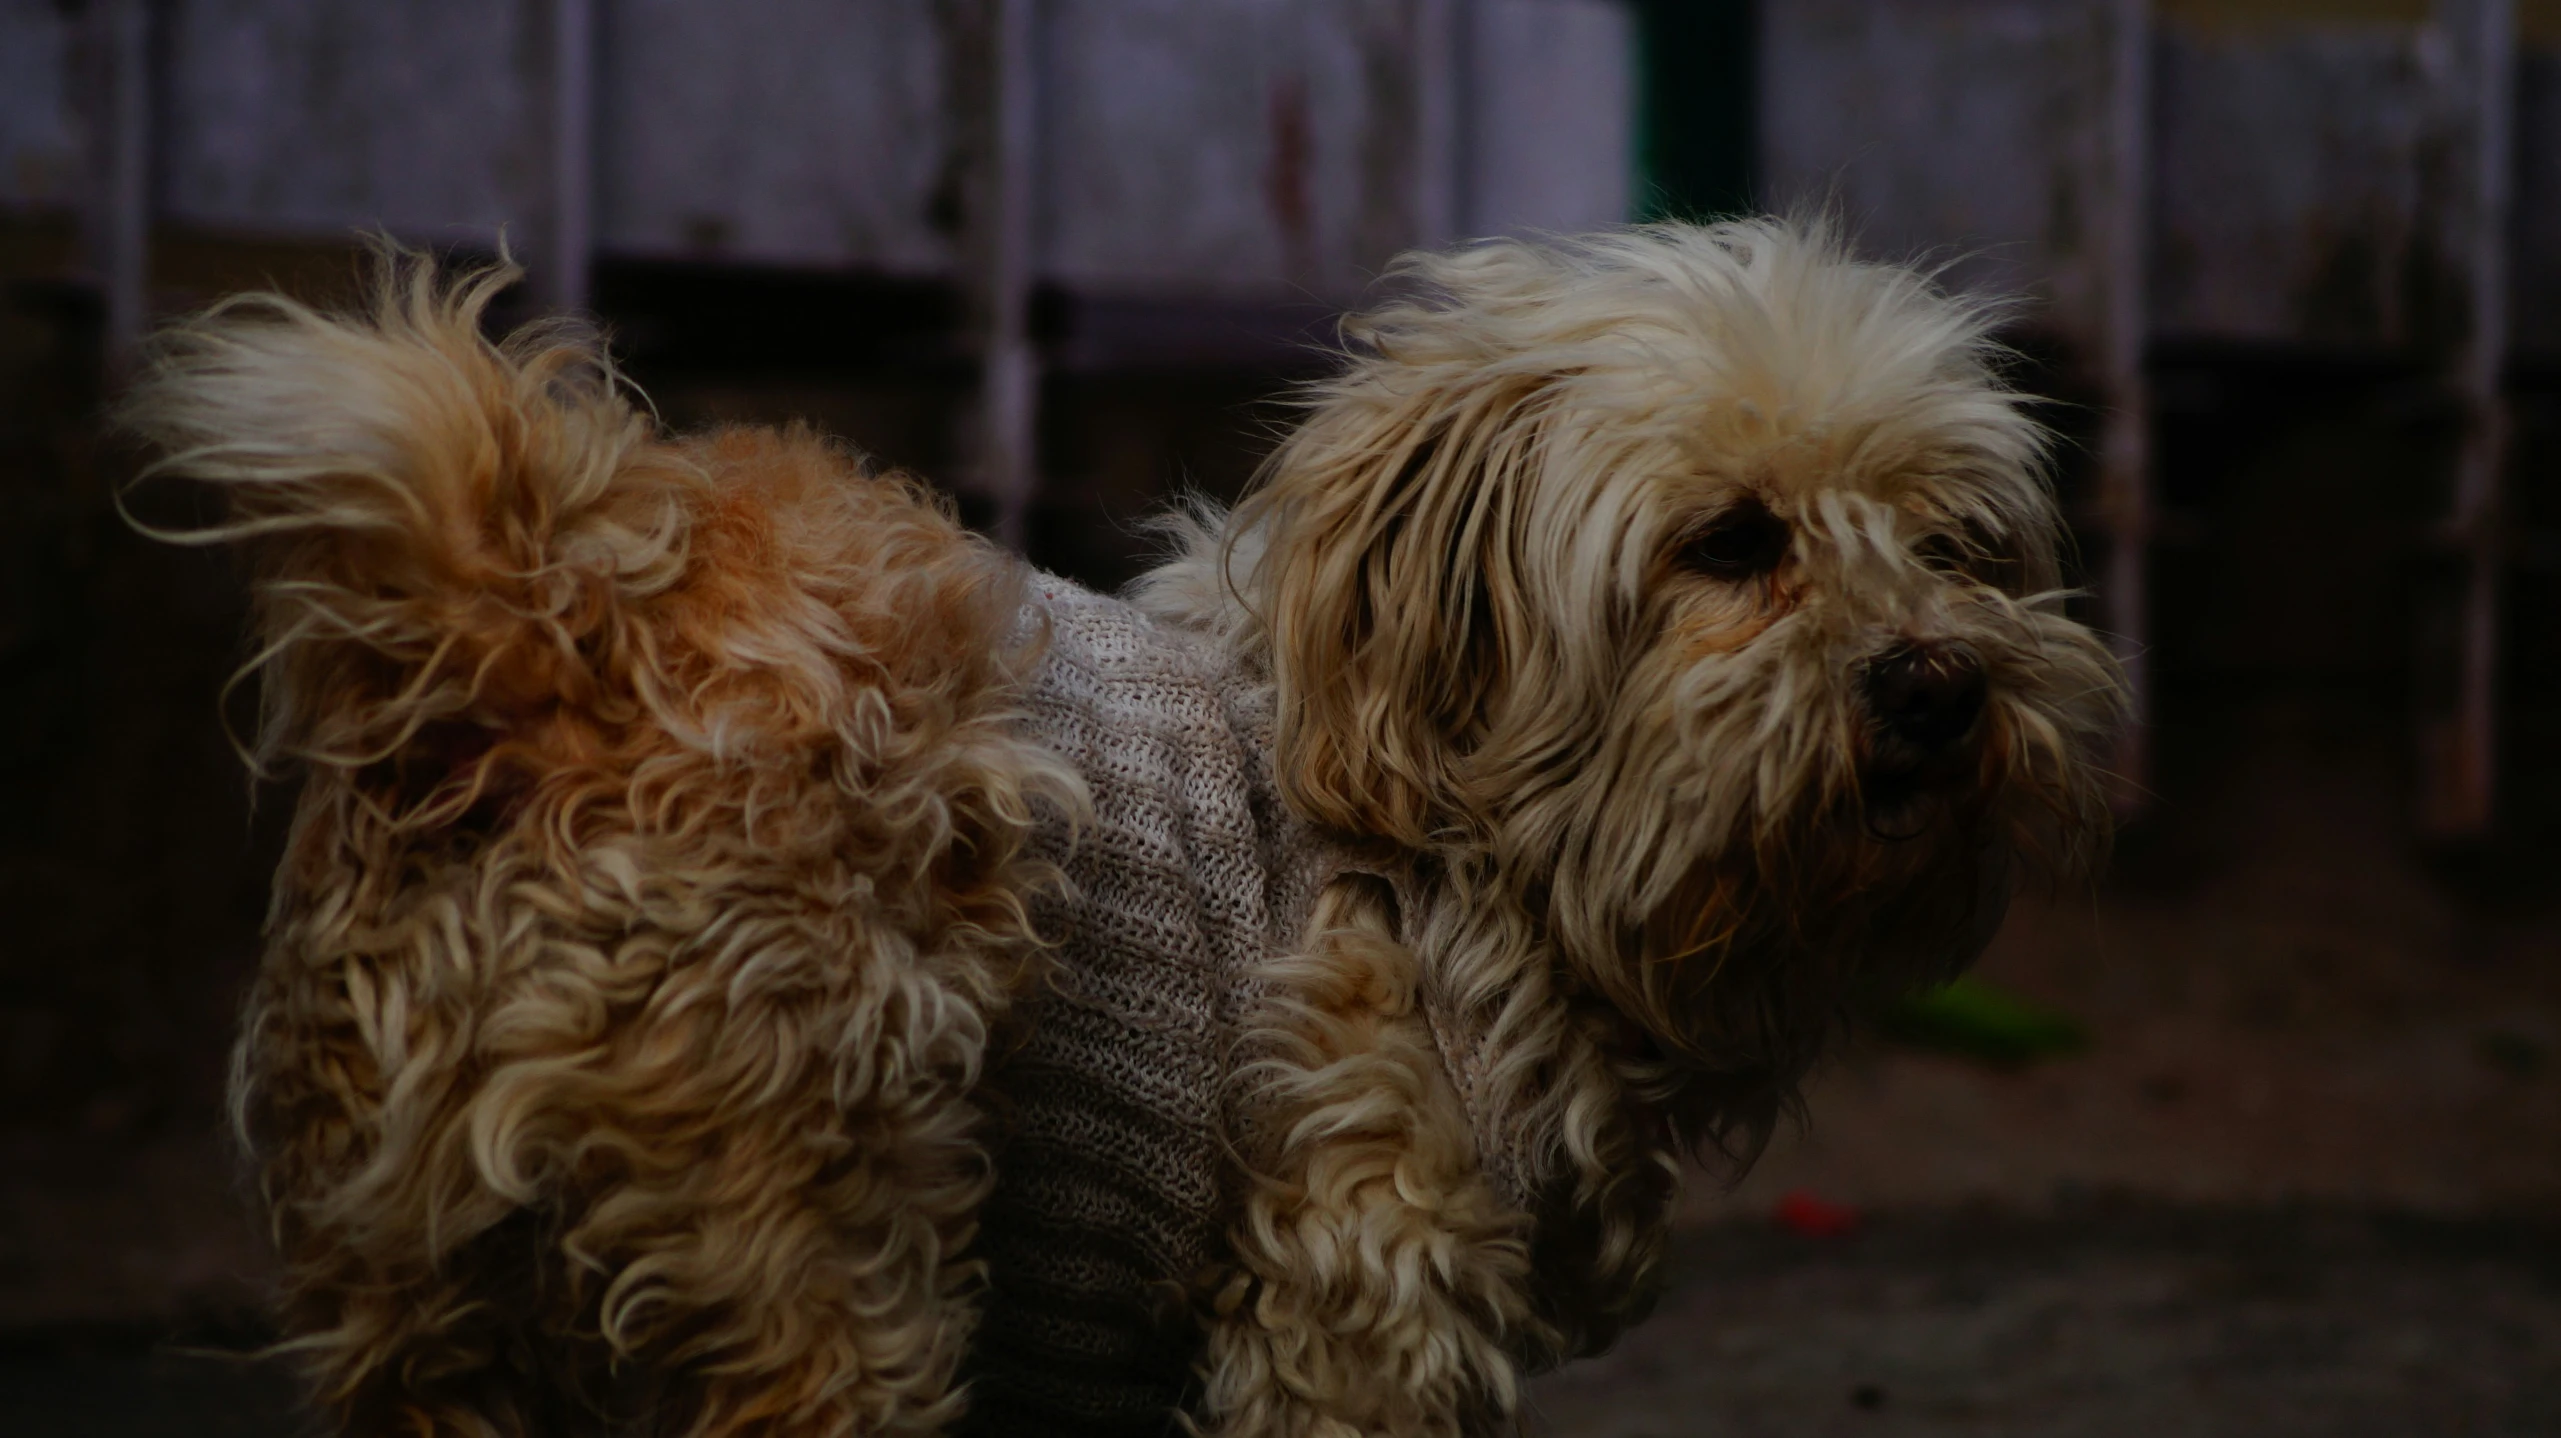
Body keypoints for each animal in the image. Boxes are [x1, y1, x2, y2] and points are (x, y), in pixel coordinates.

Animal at [120, 215, 2120, 1435]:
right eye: (1733, 542)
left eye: (1959, 543)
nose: (1940, 681)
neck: (1455, 839)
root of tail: (535, 616)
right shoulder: (1353, 1303)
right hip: (815, 1273)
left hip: (415, 1299)